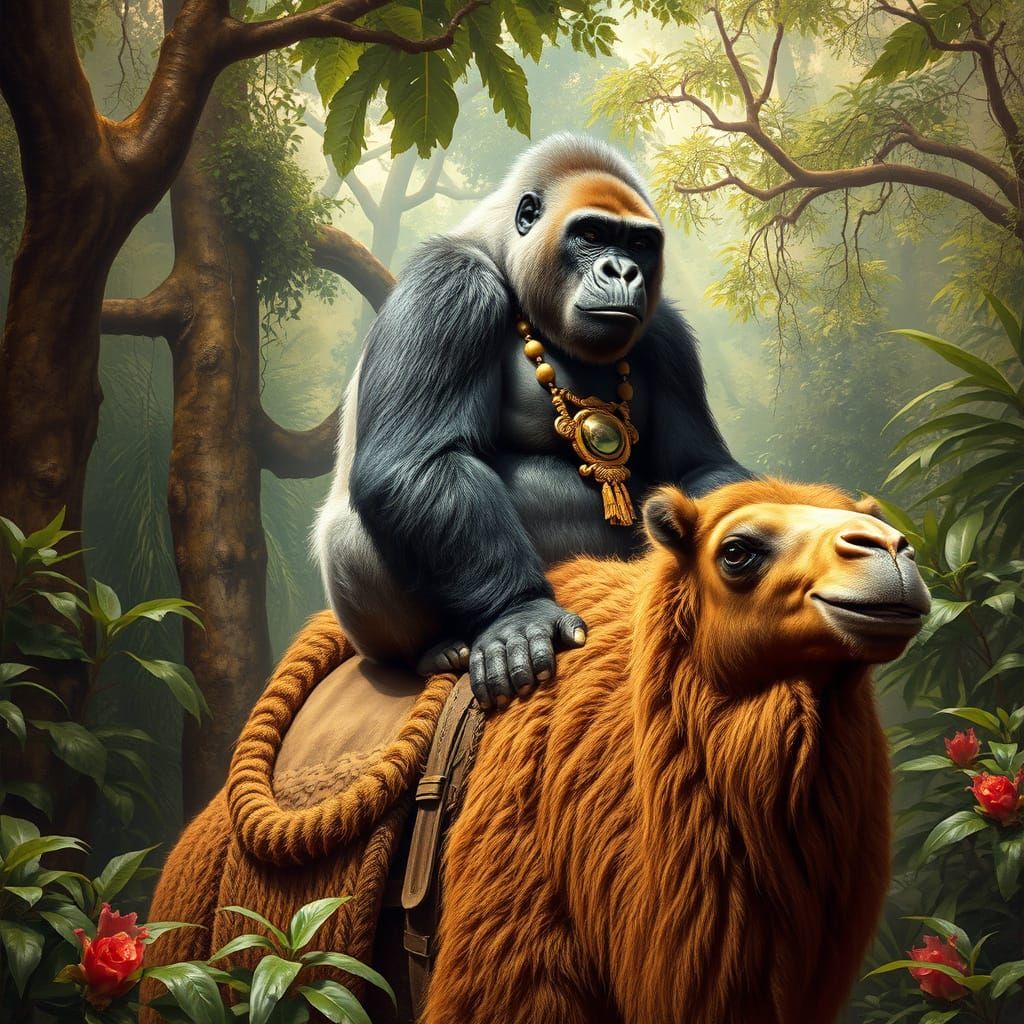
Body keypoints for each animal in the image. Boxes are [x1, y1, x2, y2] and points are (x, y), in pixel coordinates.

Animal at [314, 133, 752, 710]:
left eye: (638, 244)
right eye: (591, 235)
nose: (623, 271)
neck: (504, 253)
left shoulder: (667, 334)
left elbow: (698, 467)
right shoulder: (449, 284)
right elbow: (418, 462)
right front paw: (518, 613)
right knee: (351, 537)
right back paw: (435, 650)